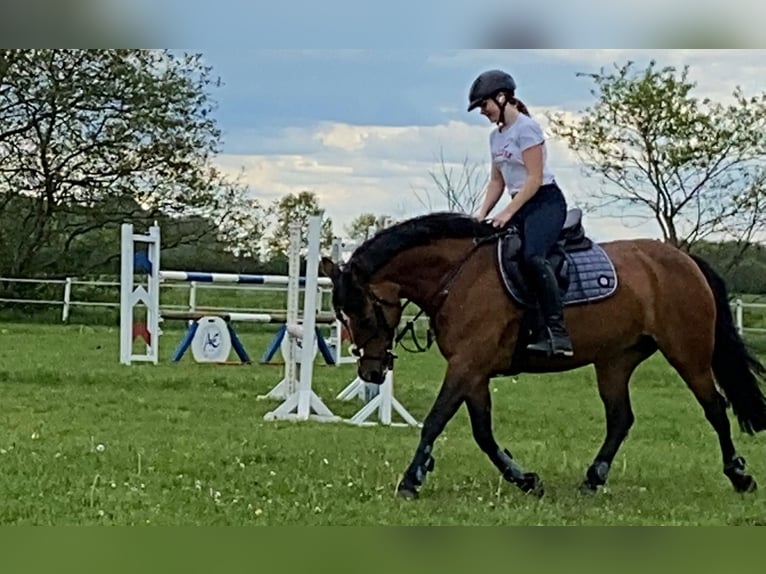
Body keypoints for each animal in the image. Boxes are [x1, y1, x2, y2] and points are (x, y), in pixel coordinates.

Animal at [320, 210, 766, 500]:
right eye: (343, 315)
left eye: (363, 312)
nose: (372, 373)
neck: (460, 275)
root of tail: (684, 259)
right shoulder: (474, 371)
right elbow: (483, 434)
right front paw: (525, 479)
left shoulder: (467, 365)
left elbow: (435, 421)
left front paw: (411, 480)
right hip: (615, 360)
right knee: (620, 418)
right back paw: (593, 478)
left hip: (688, 353)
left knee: (715, 408)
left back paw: (739, 476)